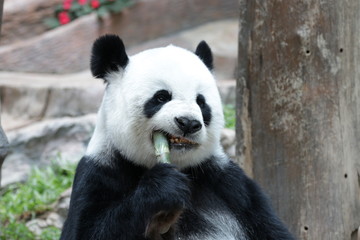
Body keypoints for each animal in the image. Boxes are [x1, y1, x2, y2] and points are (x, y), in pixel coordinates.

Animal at [59, 34, 296, 240]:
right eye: (161, 97)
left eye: (201, 102)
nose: (188, 123)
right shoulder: (100, 171)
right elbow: (86, 231)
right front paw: (163, 188)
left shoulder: (228, 182)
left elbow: (271, 229)